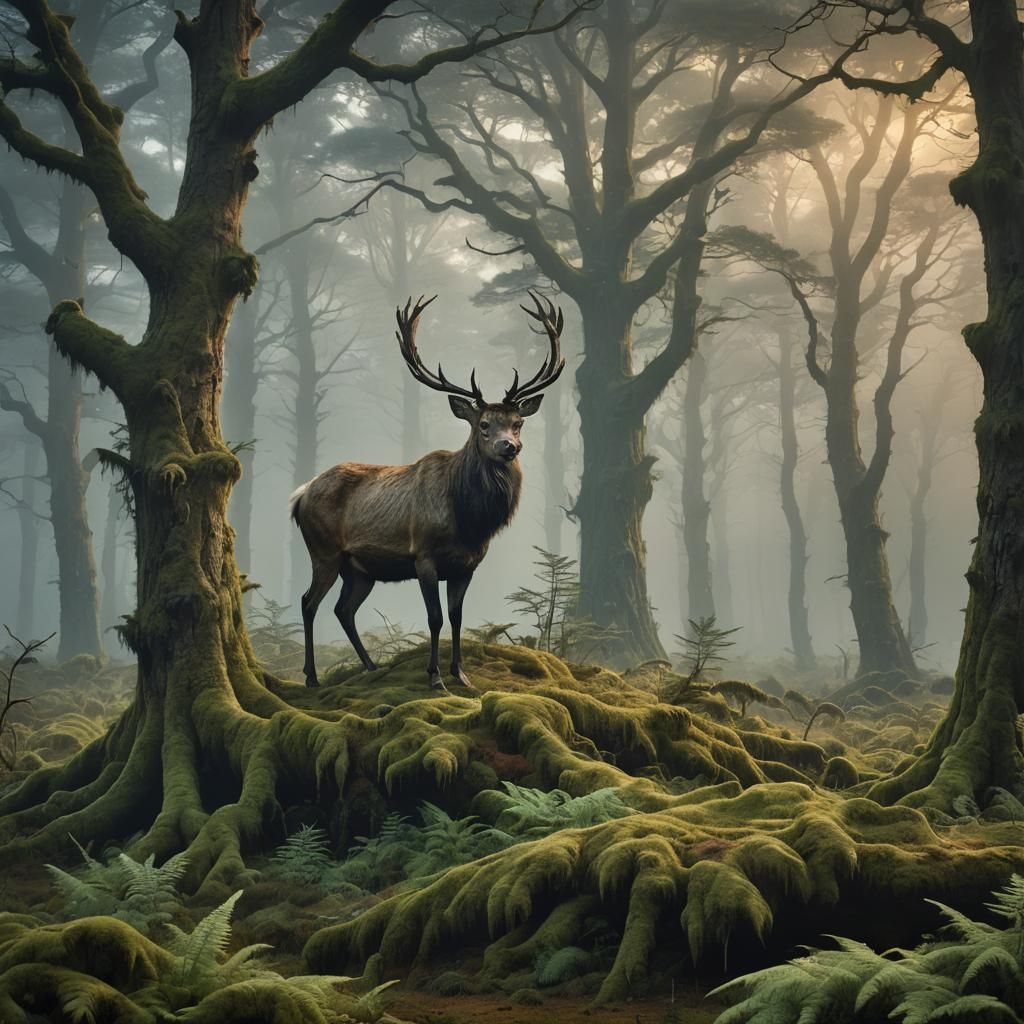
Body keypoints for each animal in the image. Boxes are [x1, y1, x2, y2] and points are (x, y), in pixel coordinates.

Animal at [289, 292, 564, 693]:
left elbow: (457, 617)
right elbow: (434, 617)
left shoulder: (468, 564)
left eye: (518, 423)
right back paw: (311, 676)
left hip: (359, 568)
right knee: (308, 602)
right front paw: (434, 677)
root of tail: (299, 495)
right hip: (323, 550)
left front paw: (461, 674)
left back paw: (370, 666)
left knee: (343, 609)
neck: (469, 522)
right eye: (483, 424)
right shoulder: (424, 556)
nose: (509, 447)